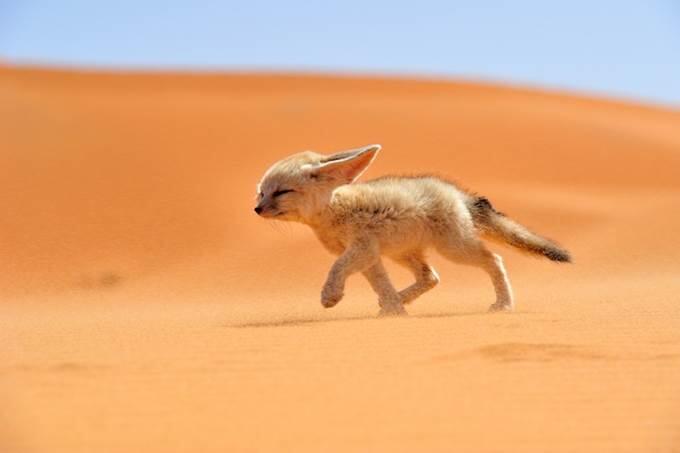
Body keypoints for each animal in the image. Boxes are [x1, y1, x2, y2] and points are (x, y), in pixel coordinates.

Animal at [254, 145, 568, 314]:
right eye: (261, 193)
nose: (256, 209)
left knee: (494, 260)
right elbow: (381, 285)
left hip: (454, 249)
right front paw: (395, 311)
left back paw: (503, 304)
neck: (334, 210)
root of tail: (457, 193)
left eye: (282, 192)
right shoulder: (370, 256)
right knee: (431, 277)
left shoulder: (361, 249)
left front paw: (331, 296)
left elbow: (336, 268)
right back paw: (398, 301)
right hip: (402, 253)